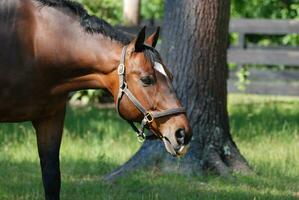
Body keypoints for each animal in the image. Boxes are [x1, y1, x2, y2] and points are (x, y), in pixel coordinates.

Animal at [0, 0, 192, 199]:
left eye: (170, 76)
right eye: (146, 79)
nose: (182, 133)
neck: (35, 44)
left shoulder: (51, 118)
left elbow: (51, 178)